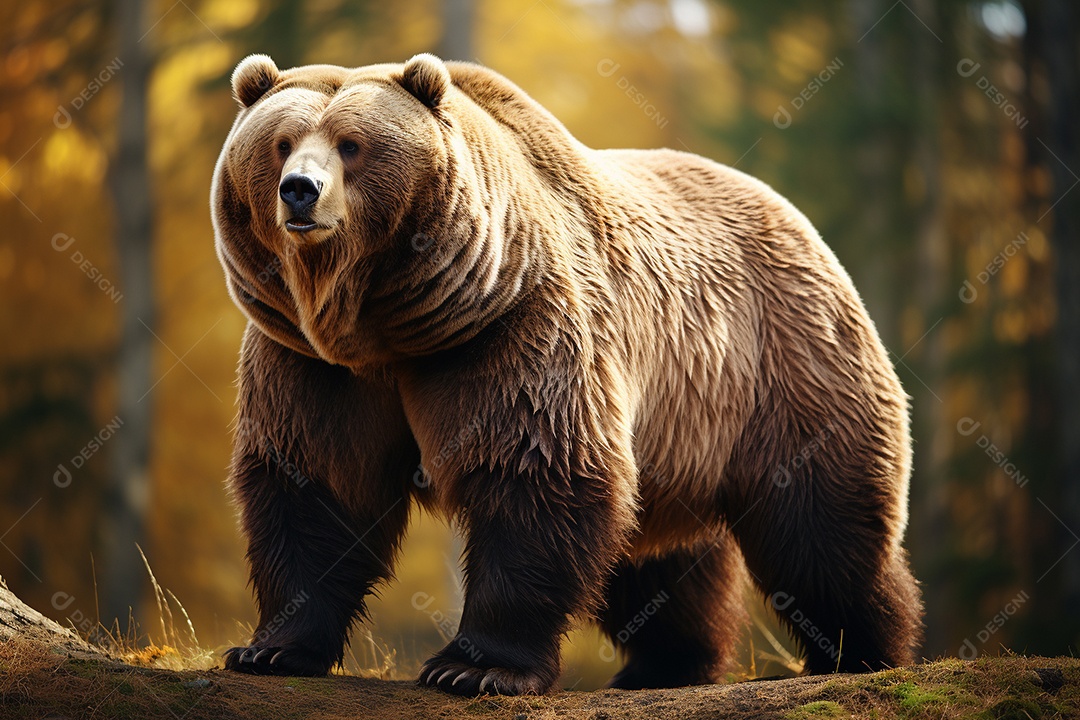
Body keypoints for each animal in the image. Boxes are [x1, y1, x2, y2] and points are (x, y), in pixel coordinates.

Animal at [213, 52, 922, 696]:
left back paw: (863, 651)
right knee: (658, 559)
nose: (299, 190)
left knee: (819, 526)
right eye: (280, 144)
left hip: (785, 364)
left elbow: (535, 472)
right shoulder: (313, 363)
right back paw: (663, 667)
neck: (385, 322)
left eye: (352, 144)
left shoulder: (507, 327)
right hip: (680, 435)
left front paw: (473, 667)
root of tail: (794, 217)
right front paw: (269, 649)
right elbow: (316, 483)